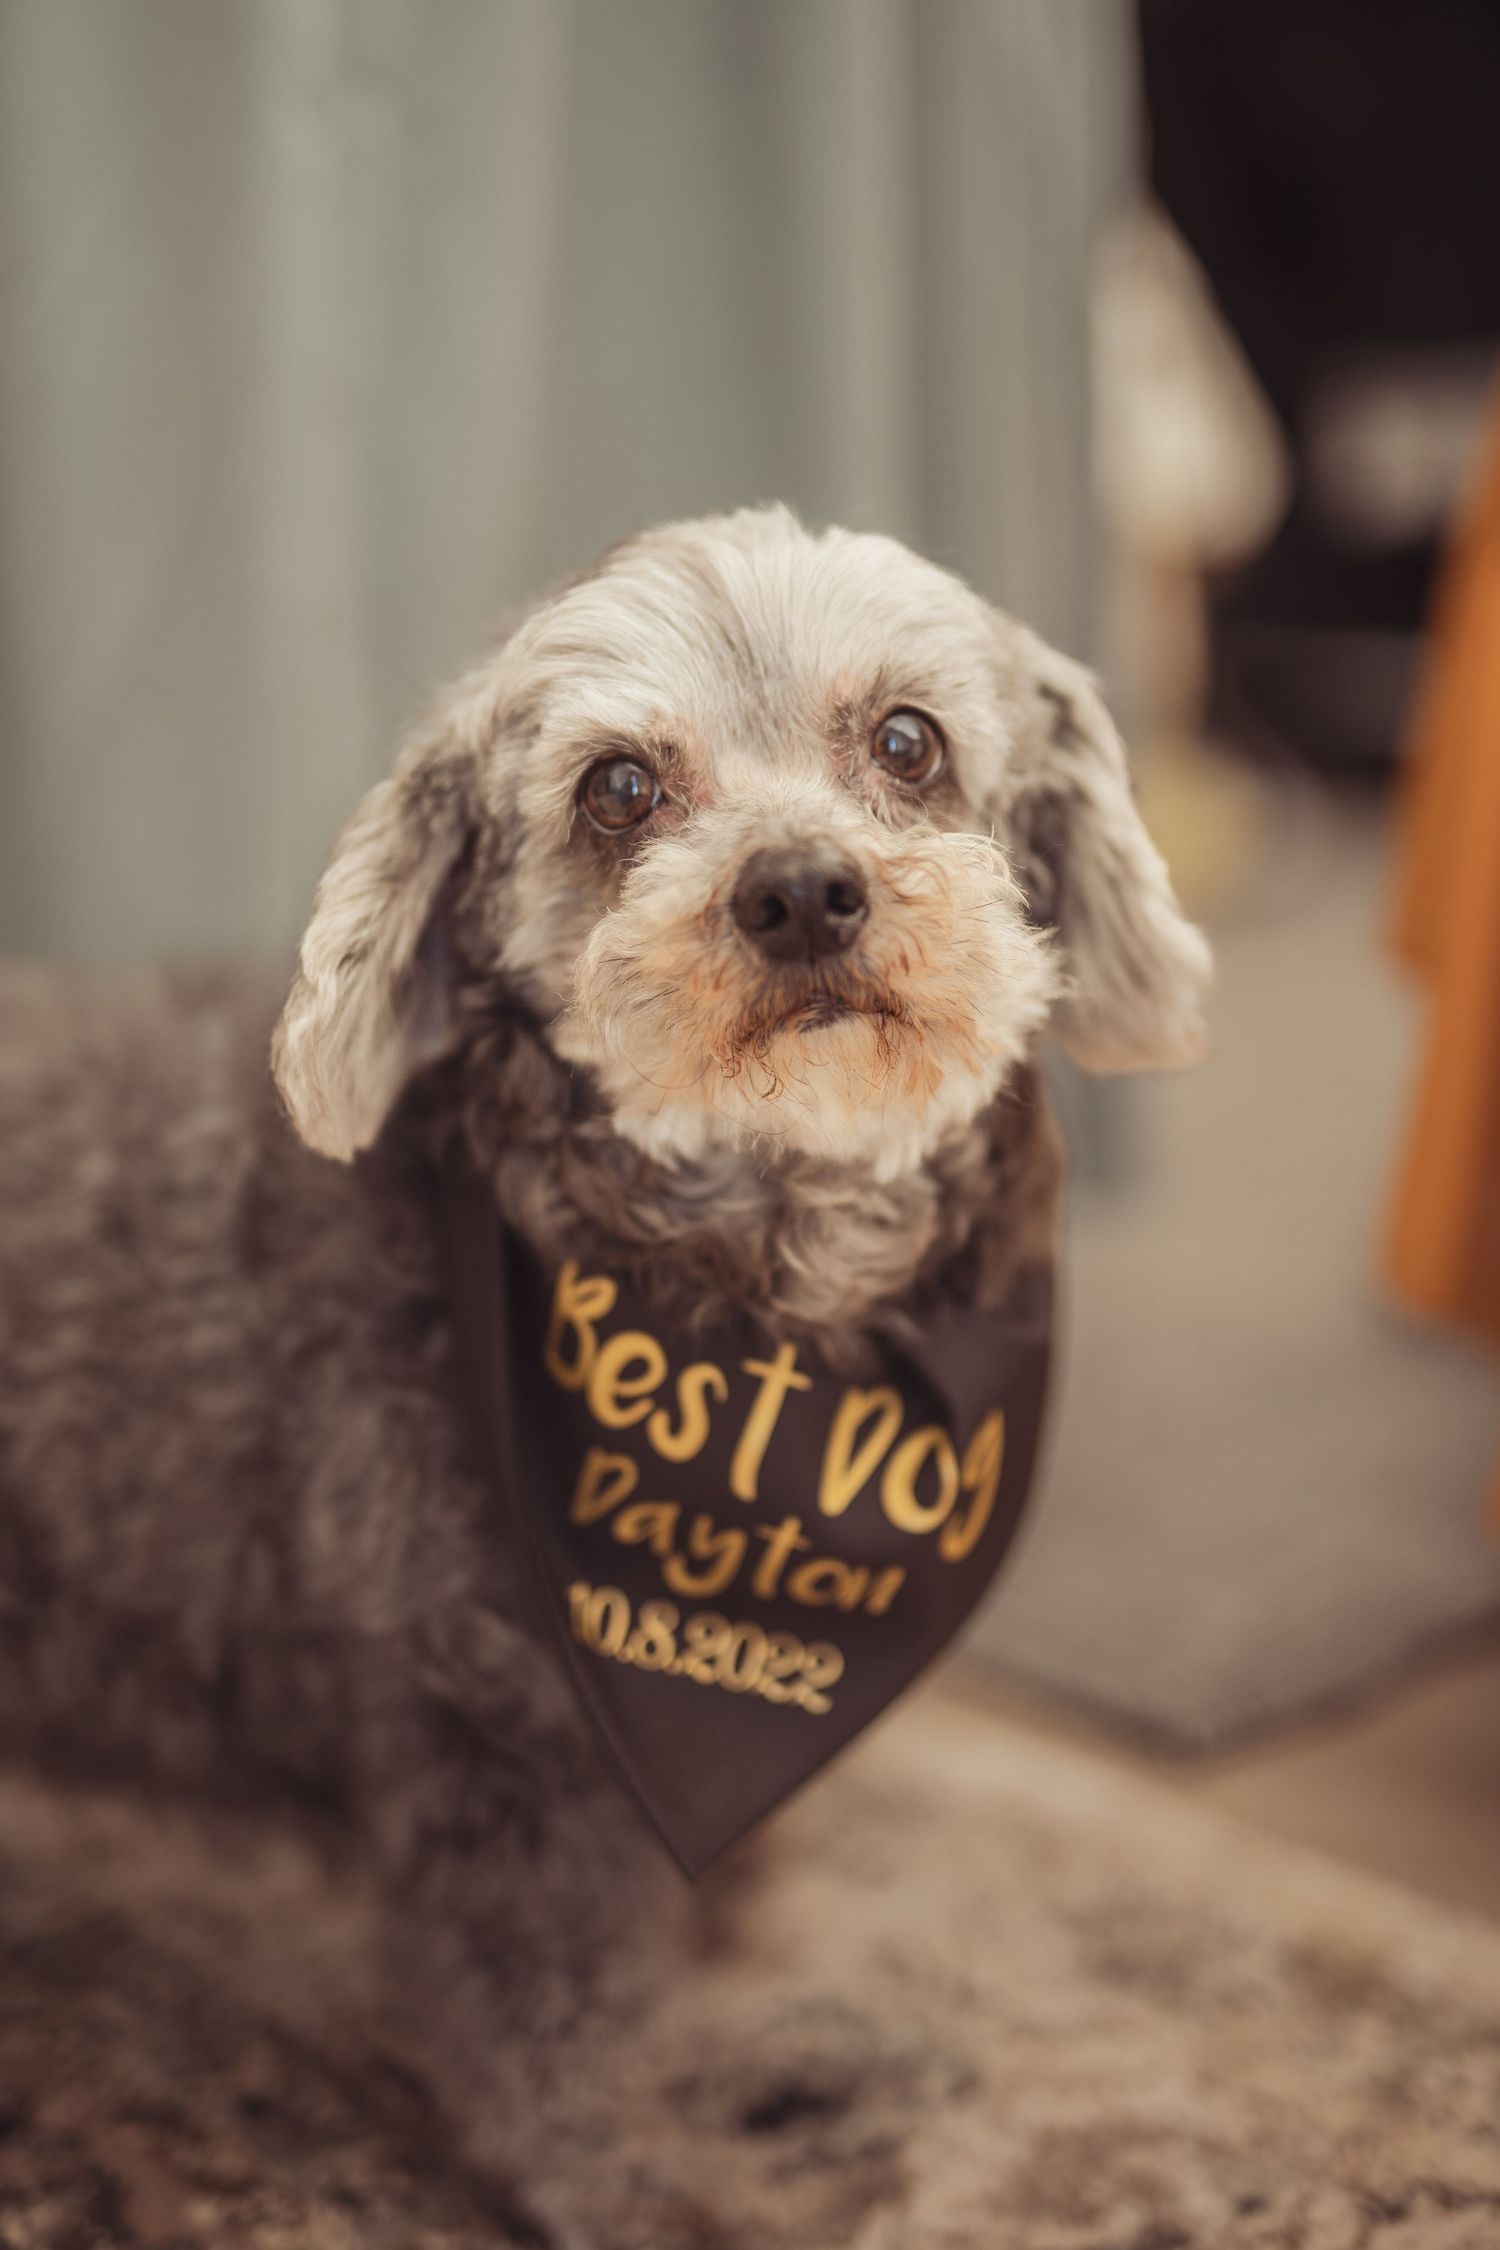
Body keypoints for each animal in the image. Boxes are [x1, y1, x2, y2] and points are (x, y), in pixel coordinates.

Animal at [0, 505, 1209, 2241]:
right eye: (618, 786)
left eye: (907, 740)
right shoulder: (506, 1764)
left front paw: (749, 2043)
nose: (802, 889)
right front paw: (651, 2177)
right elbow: (556, 2050)